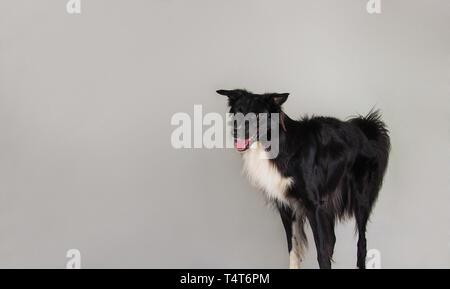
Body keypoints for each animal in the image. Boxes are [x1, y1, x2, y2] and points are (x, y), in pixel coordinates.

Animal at [216, 88, 388, 268]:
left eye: (257, 115)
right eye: (237, 112)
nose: (235, 132)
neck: (276, 143)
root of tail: (363, 128)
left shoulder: (312, 204)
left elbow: (322, 252)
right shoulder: (285, 206)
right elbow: (293, 249)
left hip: (361, 198)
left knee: (361, 243)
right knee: (332, 239)